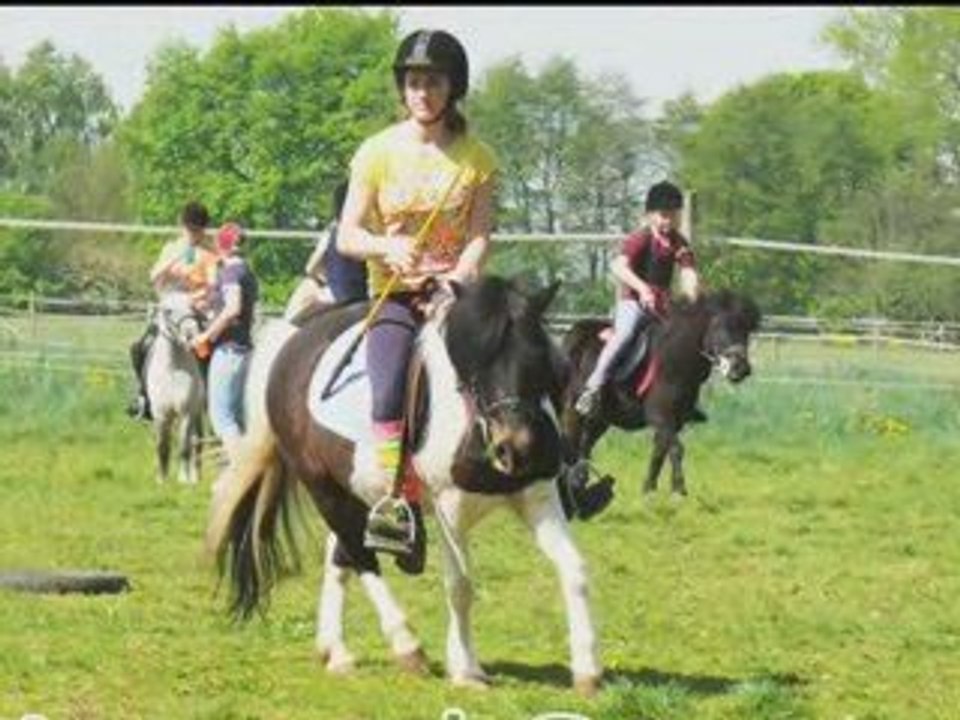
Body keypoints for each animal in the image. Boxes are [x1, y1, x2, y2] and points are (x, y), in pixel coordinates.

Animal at [144, 292, 206, 485]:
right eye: (168, 311)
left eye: (192, 307)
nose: (191, 334)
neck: (172, 370)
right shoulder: (161, 414)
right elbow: (162, 445)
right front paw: (162, 480)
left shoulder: (186, 412)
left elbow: (184, 447)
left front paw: (184, 479)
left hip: (197, 413)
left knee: (196, 441)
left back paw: (194, 477)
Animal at [206, 276, 602, 695]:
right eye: (472, 362)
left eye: (540, 360)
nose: (517, 448)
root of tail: (295, 339)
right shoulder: (449, 507)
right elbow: (460, 586)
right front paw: (466, 670)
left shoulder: (538, 496)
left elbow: (575, 570)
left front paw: (587, 671)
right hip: (322, 486)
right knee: (361, 558)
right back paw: (406, 646)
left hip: (352, 490)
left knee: (340, 556)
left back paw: (335, 650)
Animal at [561, 290, 761, 498]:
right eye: (722, 326)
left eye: (746, 332)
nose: (741, 369)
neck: (675, 359)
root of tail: (573, 336)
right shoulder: (660, 415)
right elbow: (676, 448)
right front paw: (679, 491)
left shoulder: (675, 420)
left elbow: (660, 451)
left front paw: (649, 489)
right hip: (573, 410)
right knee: (572, 441)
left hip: (600, 418)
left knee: (585, 446)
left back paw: (579, 484)